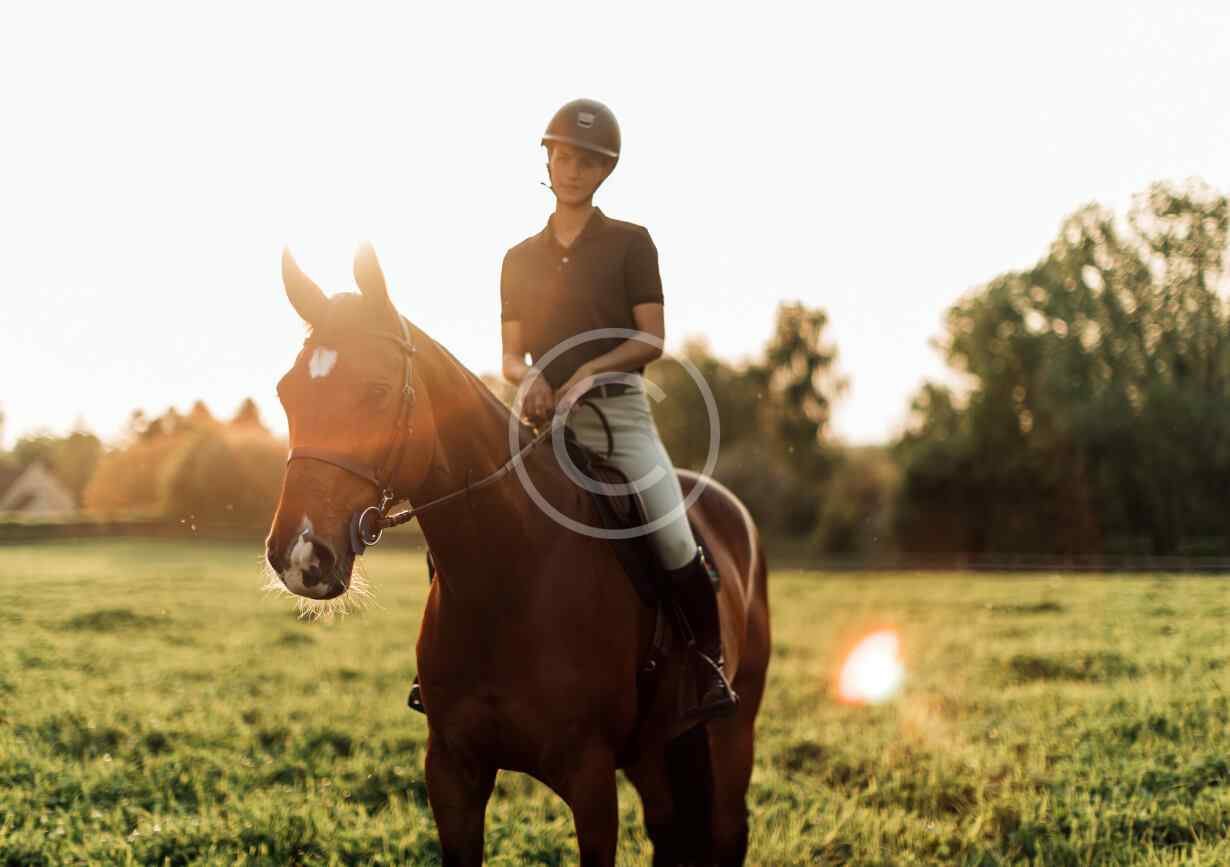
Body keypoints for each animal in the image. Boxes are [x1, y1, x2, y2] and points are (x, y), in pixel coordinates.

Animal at [264, 244, 771, 866]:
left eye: (377, 392)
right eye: (287, 393)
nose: (299, 554)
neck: (507, 579)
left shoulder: (591, 780)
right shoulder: (452, 771)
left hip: (733, 728)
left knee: (726, 827)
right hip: (656, 749)